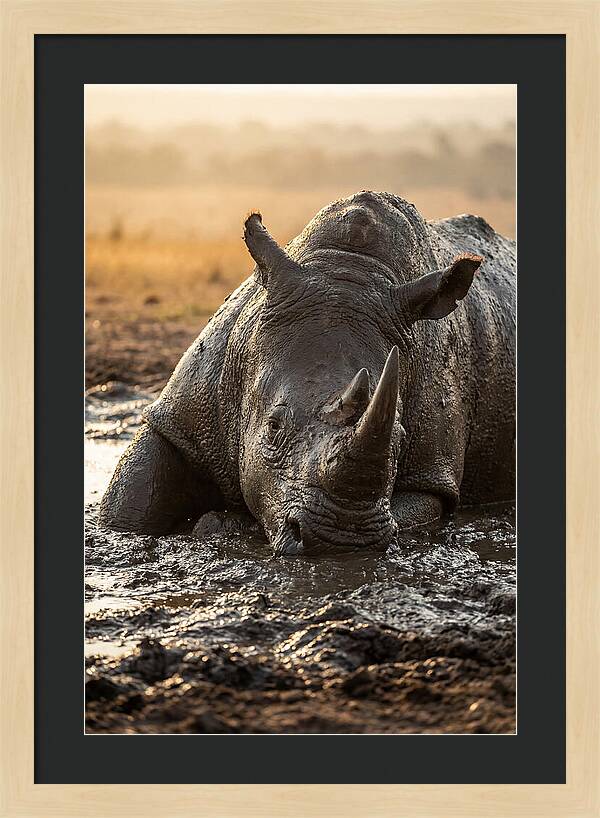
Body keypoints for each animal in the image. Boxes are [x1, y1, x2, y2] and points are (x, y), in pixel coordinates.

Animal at [99, 191, 515, 554]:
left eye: (400, 437)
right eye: (273, 427)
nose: (341, 539)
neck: (349, 268)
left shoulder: (432, 473)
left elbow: (417, 508)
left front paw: (221, 525)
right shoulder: (181, 415)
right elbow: (130, 505)